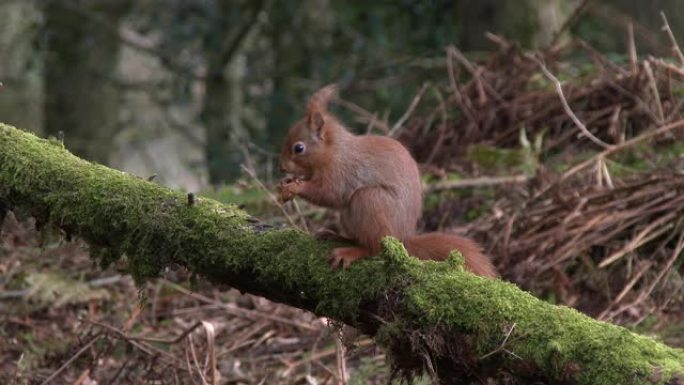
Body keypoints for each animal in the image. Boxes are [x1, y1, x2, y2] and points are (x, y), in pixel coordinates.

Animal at [278, 84, 496, 278]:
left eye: (299, 148)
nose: (282, 167)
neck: (335, 151)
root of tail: (402, 239)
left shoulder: (342, 172)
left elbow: (329, 193)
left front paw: (296, 187)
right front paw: (286, 183)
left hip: (369, 201)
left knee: (374, 247)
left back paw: (351, 251)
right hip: (349, 216)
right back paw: (337, 236)